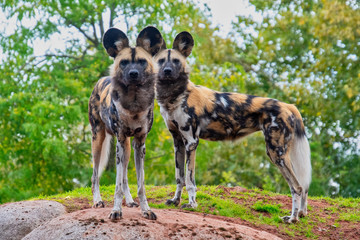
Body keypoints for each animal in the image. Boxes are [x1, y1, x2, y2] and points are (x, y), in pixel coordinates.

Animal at [89, 26, 165, 221]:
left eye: (142, 62)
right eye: (124, 63)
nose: (133, 74)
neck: (134, 104)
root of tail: (101, 79)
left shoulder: (140, 144)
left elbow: (140, 184)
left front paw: (146, 210)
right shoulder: (120, 142)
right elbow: (116, 186)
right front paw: (116, 211)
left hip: (128, 148)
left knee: (123, 177)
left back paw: (130, 201)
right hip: (98, 141)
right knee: (95, 176)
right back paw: (97, 201)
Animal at [156, 31, 310, 223]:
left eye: (176, 61)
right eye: (161, 61)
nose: (167, 71)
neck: (176, 96)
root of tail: (288, 105)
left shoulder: (191, 142)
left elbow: (190, 180)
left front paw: (192, 204)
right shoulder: (178, 142)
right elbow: (180, 178)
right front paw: (175, 201)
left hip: (276, 153)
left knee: (297, 187)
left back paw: (292, 219)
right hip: (281, 153)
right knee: (303, 186)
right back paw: (301, 214)